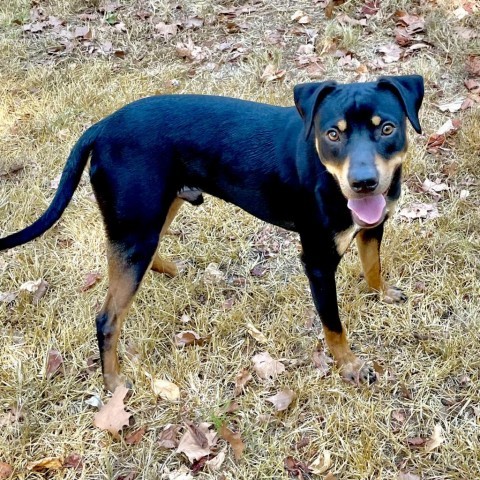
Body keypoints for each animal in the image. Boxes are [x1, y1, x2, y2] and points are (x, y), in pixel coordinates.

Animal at [0, 74, 424, 390]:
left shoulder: (373, 227)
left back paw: (169, 270)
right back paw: (114, 384)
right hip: (136, 227)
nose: (364, 183)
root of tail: (101, 126)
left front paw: (383, 294)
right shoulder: (317, 262)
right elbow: (333, 326)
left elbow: (372, 265)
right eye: (332, 134)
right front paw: (350, 366)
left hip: (156, 210)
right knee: (108, 319)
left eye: (387, 128)